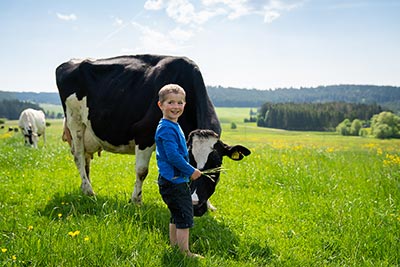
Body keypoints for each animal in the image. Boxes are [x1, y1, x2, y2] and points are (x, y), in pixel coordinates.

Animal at [55, 54, 250, 216]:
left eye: (216, 165)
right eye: (190, 162)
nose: (196, 206)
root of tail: (70, 62)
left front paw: (209, 205)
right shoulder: (144, 134)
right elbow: (142, 171)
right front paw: (136, 201)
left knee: (86, 160)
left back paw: (84, 187)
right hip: (75, 121)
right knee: (79, 157)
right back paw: (89, 191)